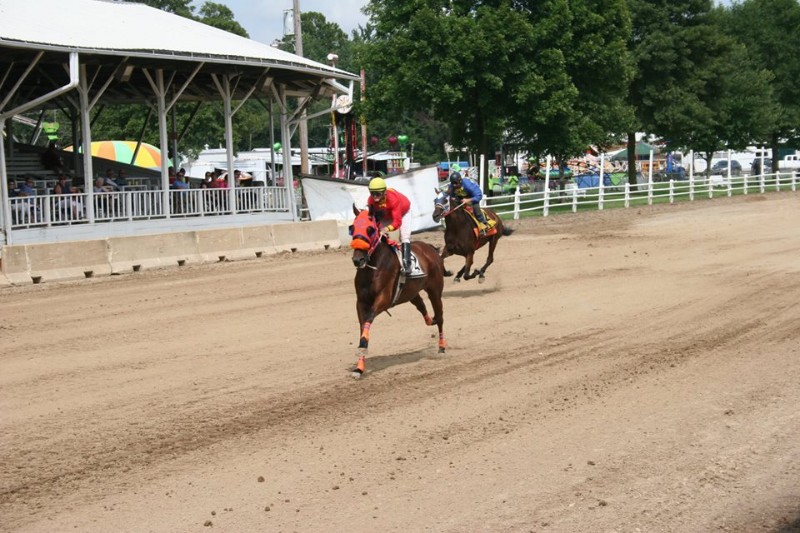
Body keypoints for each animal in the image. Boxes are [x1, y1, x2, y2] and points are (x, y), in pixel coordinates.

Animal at [352, 205, 450, 378]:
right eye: (352, 228)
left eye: (370, 229)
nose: (358, 260)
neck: (373, 268)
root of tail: (430, 249)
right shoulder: (361, 302)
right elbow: (363, 326)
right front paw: (359, 368)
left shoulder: (383, 299)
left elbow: (369, 319)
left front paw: (362, 346)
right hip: (411, 293)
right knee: (422, 306)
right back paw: (431, 320)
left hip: (435, 291)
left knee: (440, 316)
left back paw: (442, 347)